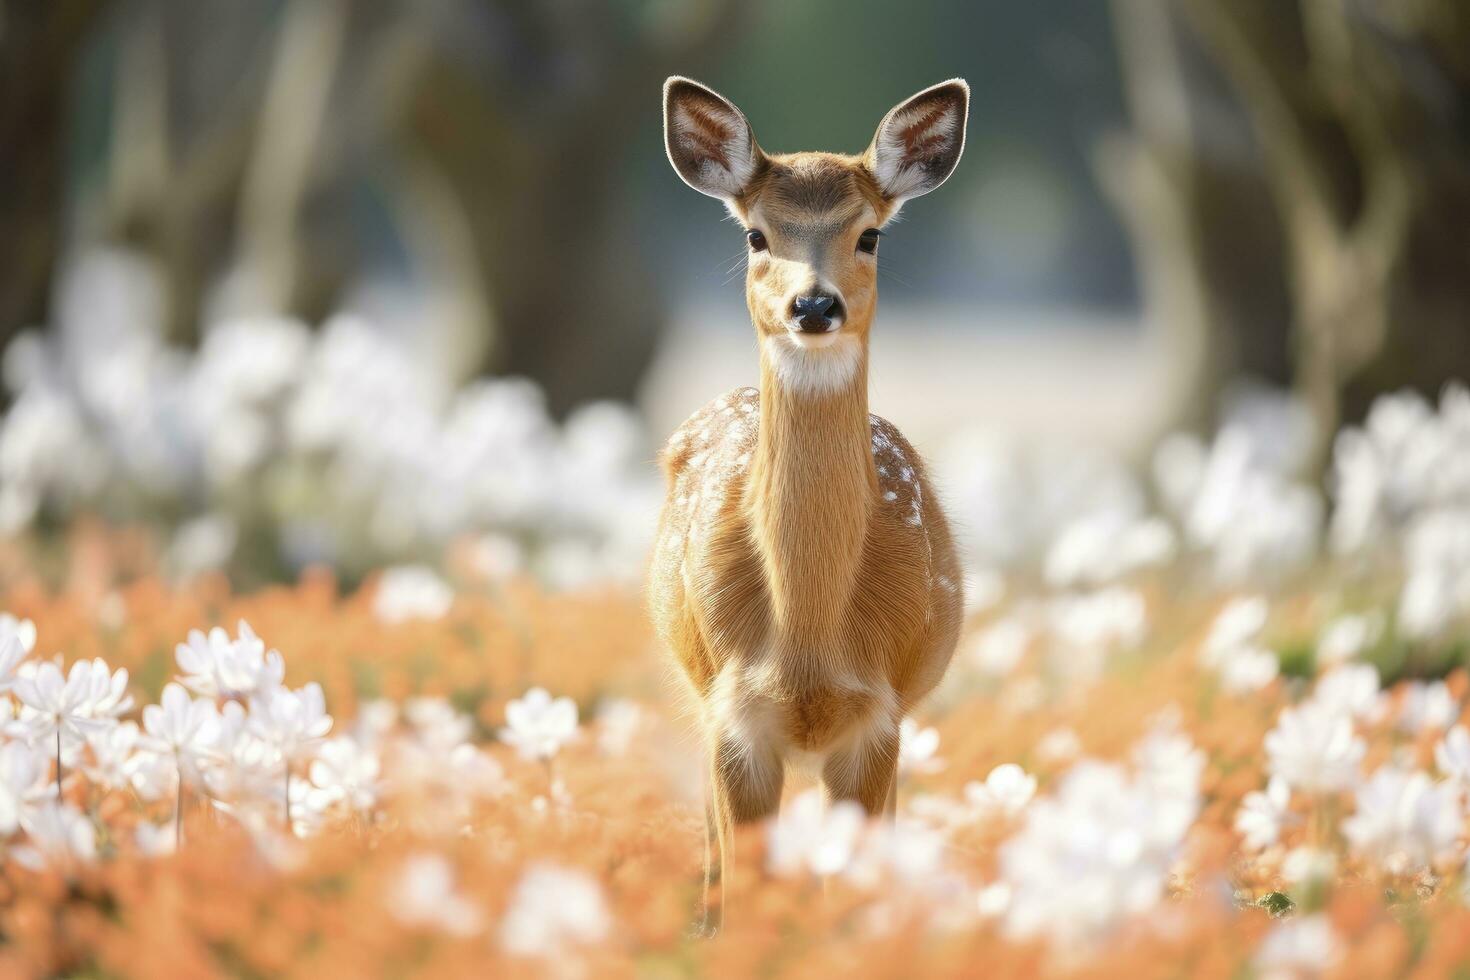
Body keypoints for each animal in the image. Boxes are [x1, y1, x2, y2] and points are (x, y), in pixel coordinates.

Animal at [652, 74, 970, 928]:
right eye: (758, 236)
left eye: (871, 236)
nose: (815, 306)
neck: (810, 643)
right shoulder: (736, 718)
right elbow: (749, 885)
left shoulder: (878, 716)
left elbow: (846, 890)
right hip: (698, 693)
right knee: (712, 850)